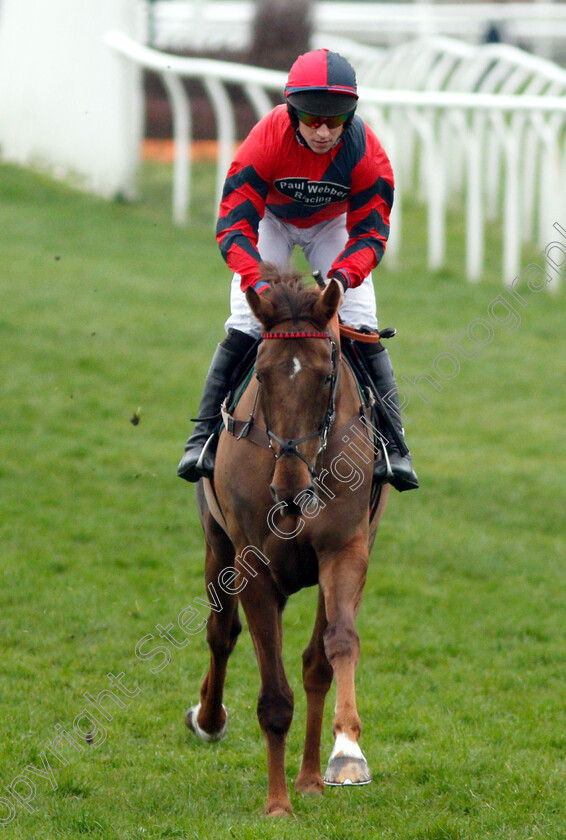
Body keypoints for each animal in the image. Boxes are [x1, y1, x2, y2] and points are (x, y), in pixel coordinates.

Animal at [186, 268, 390, 812]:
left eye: (326, 376)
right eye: (261, 375)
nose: (291, 488)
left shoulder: (345, 550)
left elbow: (335, 647)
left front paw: (344, 756)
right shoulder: (253, 566)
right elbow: (274, 695)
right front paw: (277, 805)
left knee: (315, 662)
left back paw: (310, 777)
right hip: (217, 543)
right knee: (220, 633)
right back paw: (209, 719)